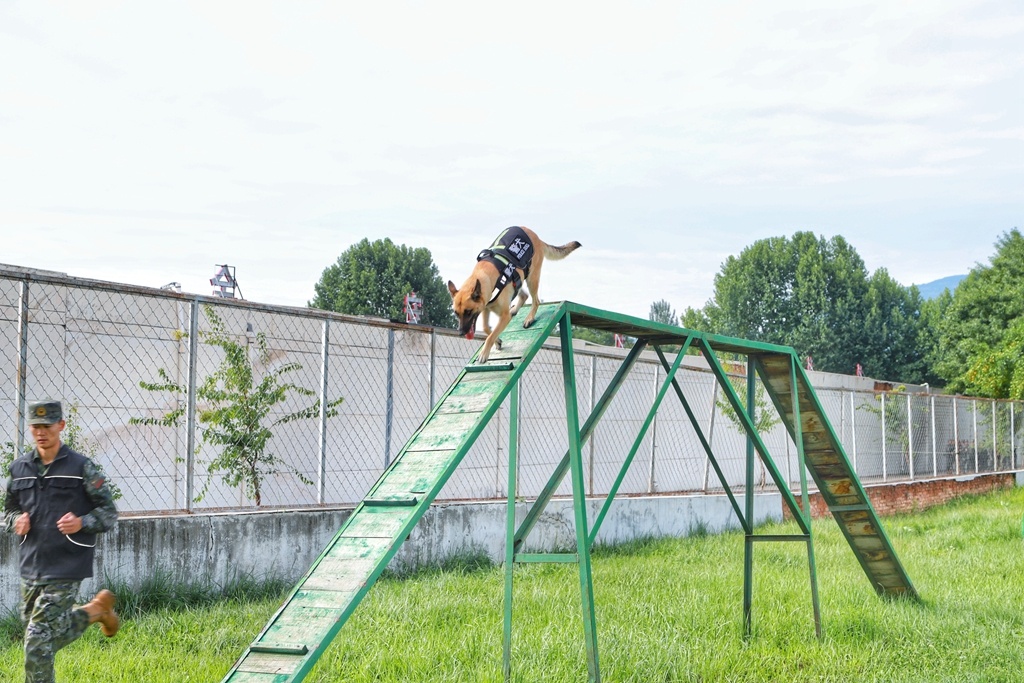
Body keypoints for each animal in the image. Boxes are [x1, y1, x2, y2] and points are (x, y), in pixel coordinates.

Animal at [446, 227, 581, 362]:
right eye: (456, 313)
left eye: (468, 312)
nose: (461, 333)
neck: (487, 277)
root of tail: (536, 237)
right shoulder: (485, 308)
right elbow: (486, 328)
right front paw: (497, 341)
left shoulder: (504, 316)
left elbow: (490, 335)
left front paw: (484, 353)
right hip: (518, 280)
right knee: (524, 295)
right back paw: (515, 309)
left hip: (532, 278)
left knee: (535, 300)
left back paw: (529, 318)